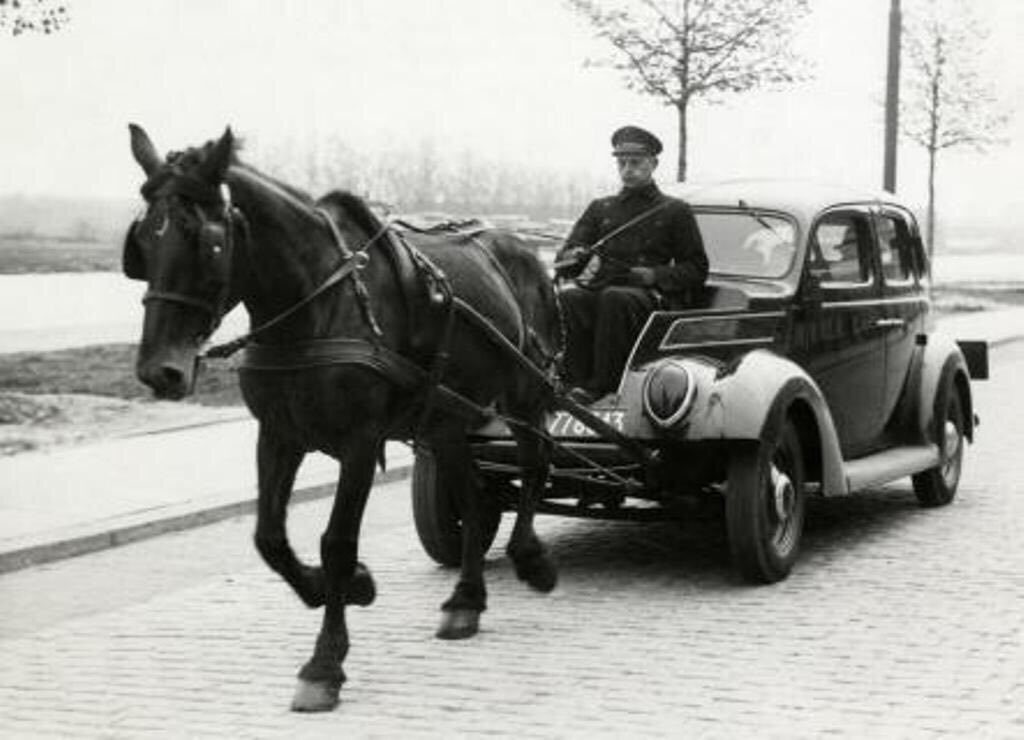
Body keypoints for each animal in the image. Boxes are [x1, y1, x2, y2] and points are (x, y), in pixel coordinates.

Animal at [125, 124, 569, 716]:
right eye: (143, 242)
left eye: (204, 240)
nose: (161, 371)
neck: (317, 304)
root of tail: (526, 249)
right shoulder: (279, 435)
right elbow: (269, 538)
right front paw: (346, 587)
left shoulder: (360, 440)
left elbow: (336, 543)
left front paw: (325, 662)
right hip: (446, 418)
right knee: (474, 499)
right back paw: (466, 599)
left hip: (525, 390)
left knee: (536, 461)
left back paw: (530, 559)